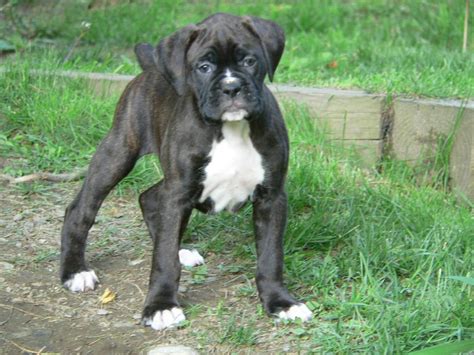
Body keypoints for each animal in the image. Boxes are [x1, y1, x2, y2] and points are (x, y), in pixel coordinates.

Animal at [60, 13, 312, 330]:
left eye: (249, 61)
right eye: (204, 67)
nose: (231, 88)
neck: (229, 129)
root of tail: (151, 67)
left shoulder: (271, 196)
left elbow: (270, 256)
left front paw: (281, 302)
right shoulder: (178, 192)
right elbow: (163, 259)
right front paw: (161, 306)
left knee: (150, 198)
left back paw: (181, 249)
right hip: (118, 153)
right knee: (81, 209)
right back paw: (74, 271)